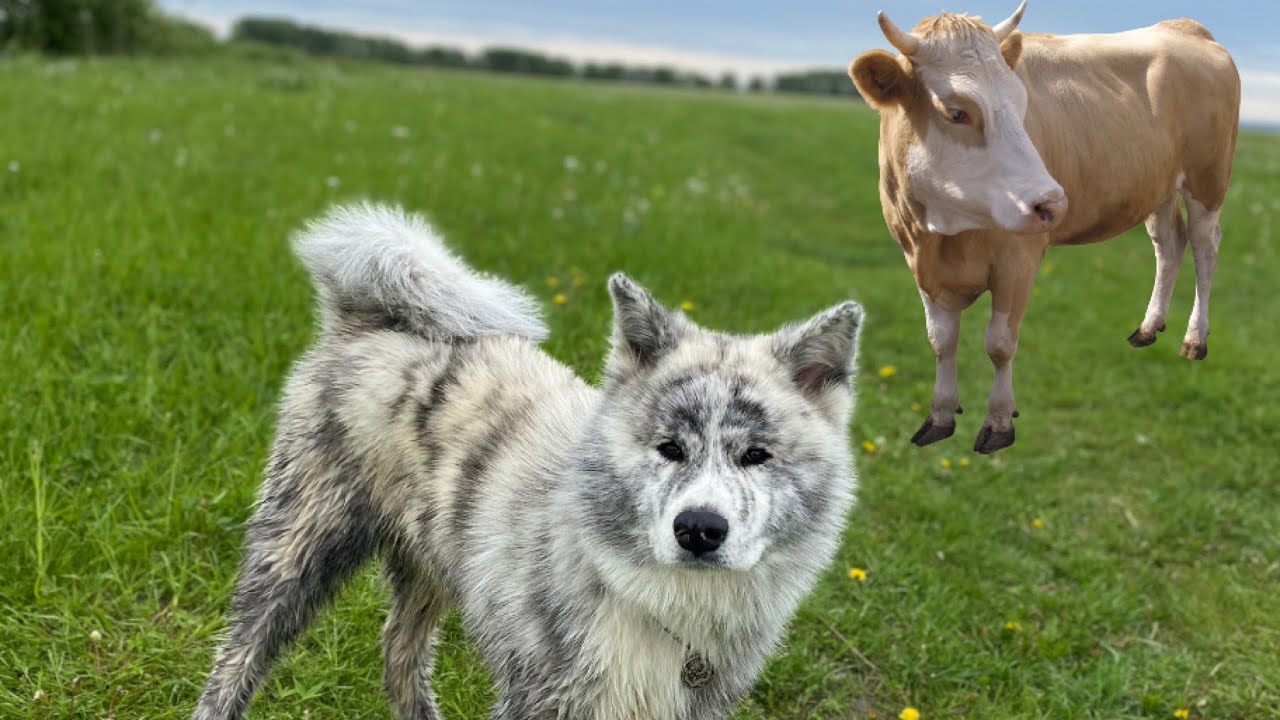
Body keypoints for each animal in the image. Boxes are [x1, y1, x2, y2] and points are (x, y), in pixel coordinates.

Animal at [847, 1, 1240, 453]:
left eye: (1022, 105)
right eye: (956, 112)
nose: (1053, 202)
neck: (942, 235)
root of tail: (1186, 28)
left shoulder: (1017, 262)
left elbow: (999, 344)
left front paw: (1000, 421)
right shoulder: (919, 261)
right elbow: (941, 340)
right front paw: (940, 414)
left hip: (1207, 180)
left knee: (1205, 249)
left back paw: (1195, 338)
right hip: (1158, 186)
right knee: (1169, 245)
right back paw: (1148, 327)